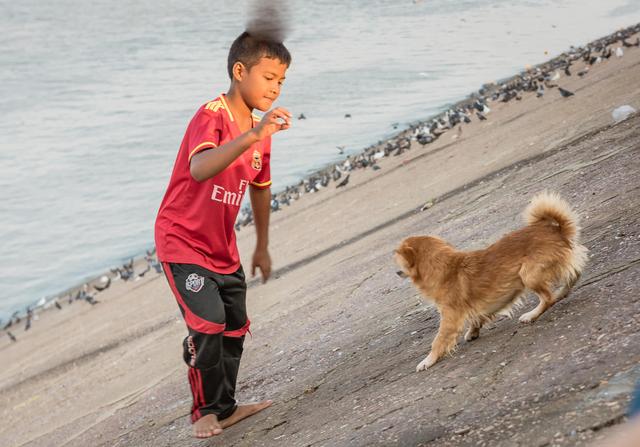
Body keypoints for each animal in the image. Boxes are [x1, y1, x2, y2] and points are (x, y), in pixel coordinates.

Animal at [396, 192, 592, 372]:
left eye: (397, 258)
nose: (396, 271)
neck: (445, 267)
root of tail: (556, 230)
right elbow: (476, 318)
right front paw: (473, 333)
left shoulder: (450, 316)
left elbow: (438, 341)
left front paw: (427, 361)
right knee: (572, 277)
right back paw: (561, 293)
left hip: (528, 275)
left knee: (548, 298)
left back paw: (531, 315)